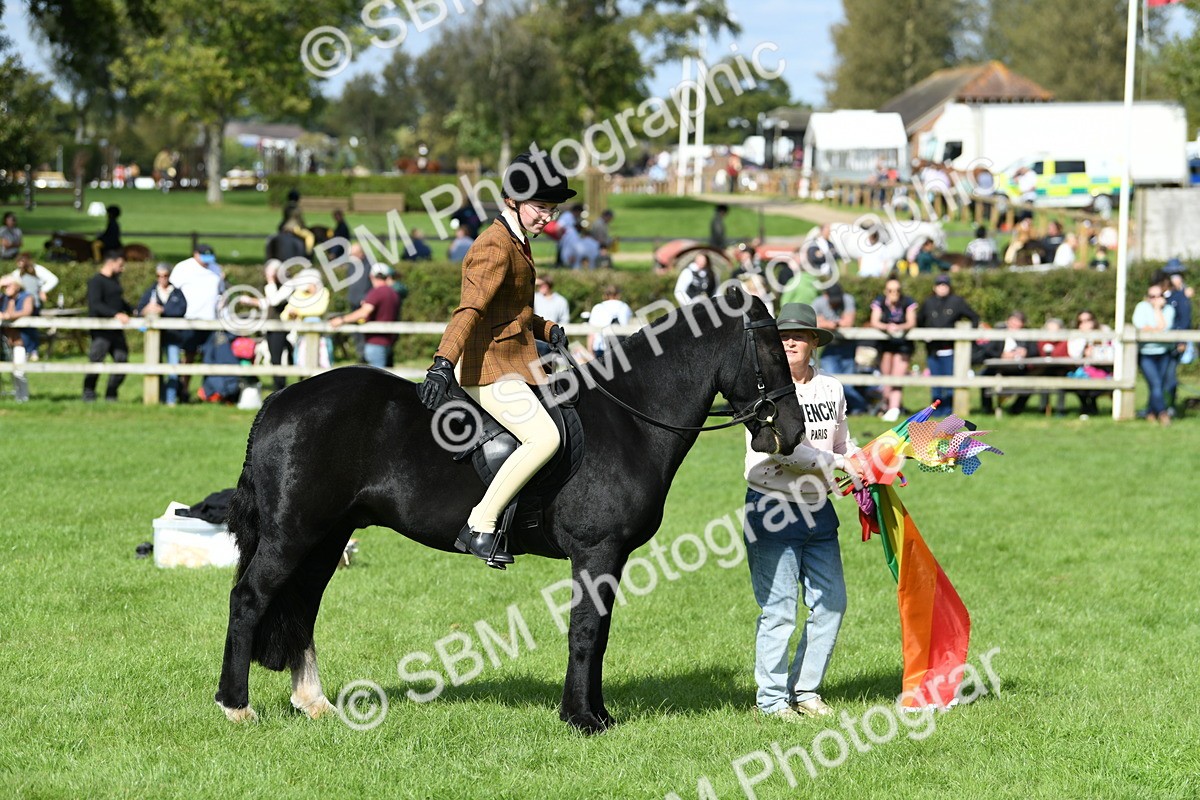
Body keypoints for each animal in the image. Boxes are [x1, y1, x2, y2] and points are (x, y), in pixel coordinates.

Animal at [214, 286, 806, 734]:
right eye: (772, 350)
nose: (794, 430)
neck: (632, 419)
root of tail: (282, 399)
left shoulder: (610, 559)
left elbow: (599, 631)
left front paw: (596, 713)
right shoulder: (596, 552)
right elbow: (586, 631)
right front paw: (581, 719)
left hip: (326, 537)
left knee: (302, 606)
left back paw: (312, 702)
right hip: (293, 535)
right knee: (248, 598)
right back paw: (235, 705)